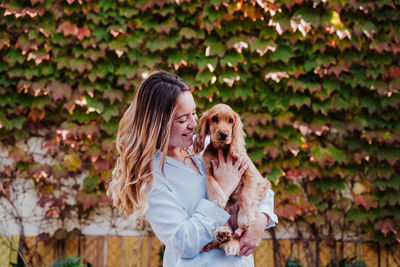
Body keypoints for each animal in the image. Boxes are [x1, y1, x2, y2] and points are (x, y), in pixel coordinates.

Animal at [193, 103, 268, 256]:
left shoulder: (253, 175)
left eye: (230, 120)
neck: (222, 150)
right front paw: (218, 198)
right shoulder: (208, 168)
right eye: (214, 118)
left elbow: (246, 195)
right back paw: (223, 233)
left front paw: (245, 218)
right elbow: (210, 180)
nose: (223, 135)